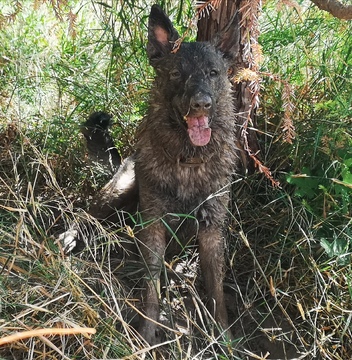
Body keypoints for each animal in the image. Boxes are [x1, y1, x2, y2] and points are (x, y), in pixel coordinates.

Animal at [60, 3, 238, 346]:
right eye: (176, 73)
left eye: (213, 73)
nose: (202, 104)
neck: (187, 161)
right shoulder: (154, 226)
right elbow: (151, 288)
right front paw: (147, 333)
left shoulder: (211, 231)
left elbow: (216, 292)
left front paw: (224, 337)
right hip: (120, 191)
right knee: (87, 215)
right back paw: (70, 236)